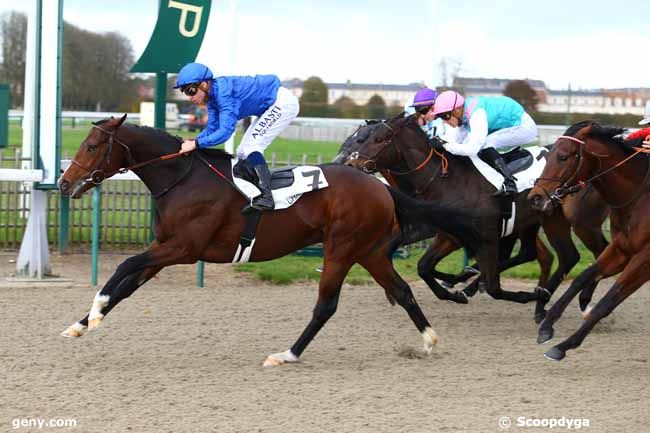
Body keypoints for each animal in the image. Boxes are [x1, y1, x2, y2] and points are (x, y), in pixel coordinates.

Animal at [58, 114, 478, 364]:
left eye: (92, 146)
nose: (64, 183)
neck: (183, 179)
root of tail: (381, 186)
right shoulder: (164, 250)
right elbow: (127, 285)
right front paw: (80, 325)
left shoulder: (183, 248)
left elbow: (124, 265)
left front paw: (96, 309)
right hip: (369, 251)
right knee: (402, 291)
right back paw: (429, 339)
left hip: (342, 247)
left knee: (325, 306)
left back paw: (287, 354)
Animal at [340, 113, 608, 322]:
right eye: (359, 137)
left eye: (378, 139)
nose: (349, 164)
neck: (444, 180)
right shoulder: (448, 234)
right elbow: (423, 267)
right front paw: (455, 288)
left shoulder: (484, 237)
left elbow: (494, 287)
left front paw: (530, 294)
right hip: (531, 221)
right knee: (533, 253)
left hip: (558, 220)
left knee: (573, 255)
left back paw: (548, 301)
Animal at [528, 120, 644, 360]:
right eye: (548, 155)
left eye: (563, 156)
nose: (536, 197)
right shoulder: (622, 248)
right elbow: (583, 276)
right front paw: (547, 325)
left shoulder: (644, 258)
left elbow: (608, 301)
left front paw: (563, 346)